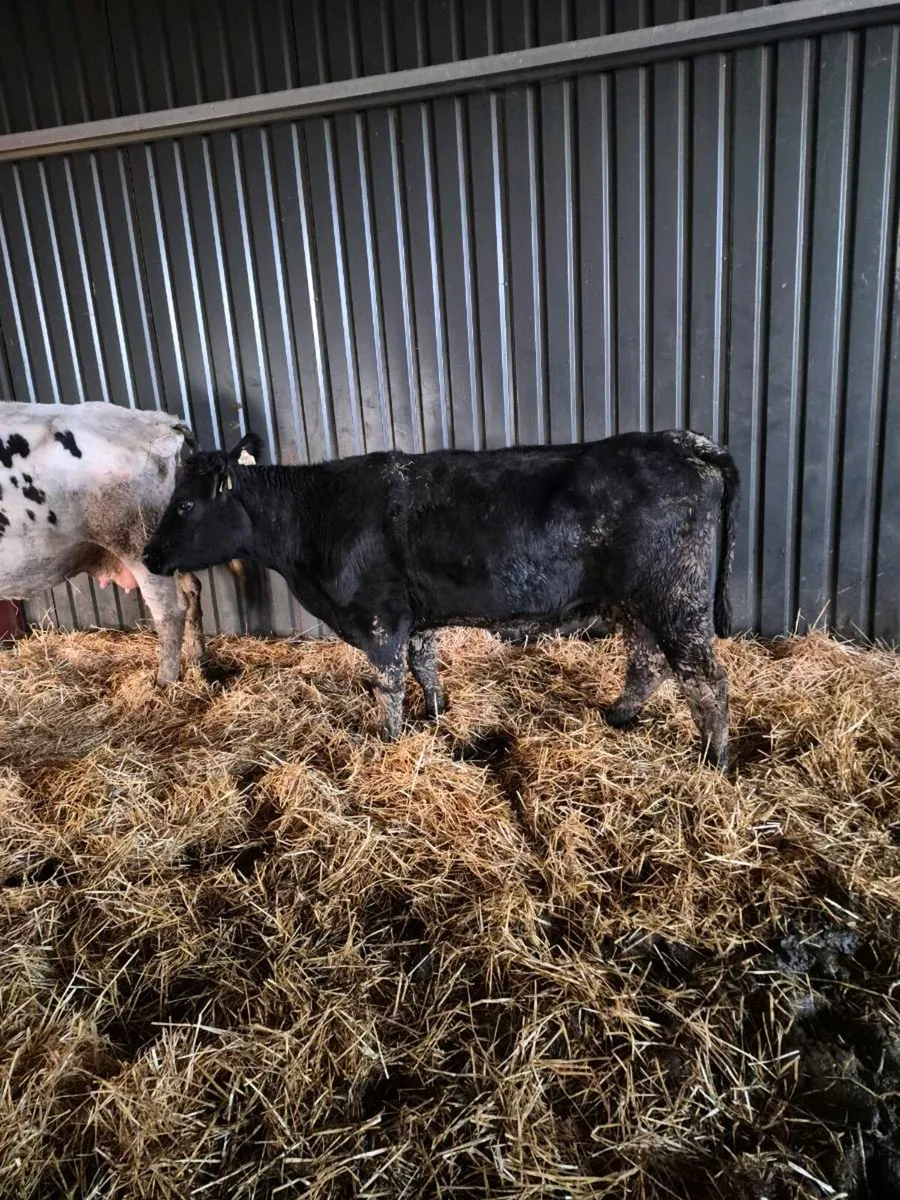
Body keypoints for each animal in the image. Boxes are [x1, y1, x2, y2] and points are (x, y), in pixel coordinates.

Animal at [0, 401, 262, 685]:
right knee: (191, 590)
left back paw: (164, 682)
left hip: (137, 542)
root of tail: (159, 420)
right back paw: (197, 662)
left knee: (170, 612)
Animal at [142, 429, 739, 767]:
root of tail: (682, 440)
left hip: (676, 599)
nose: (147, 556)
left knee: (706, 678)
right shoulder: (415, 617)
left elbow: (388, 683)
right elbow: (424, 664)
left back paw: (714, 760)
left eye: (185, 505)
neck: (316, 518)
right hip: (640, 603)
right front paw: (434, 714)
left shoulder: (379, 619)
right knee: (648, 662)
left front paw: (388, 740)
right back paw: (619, 716)